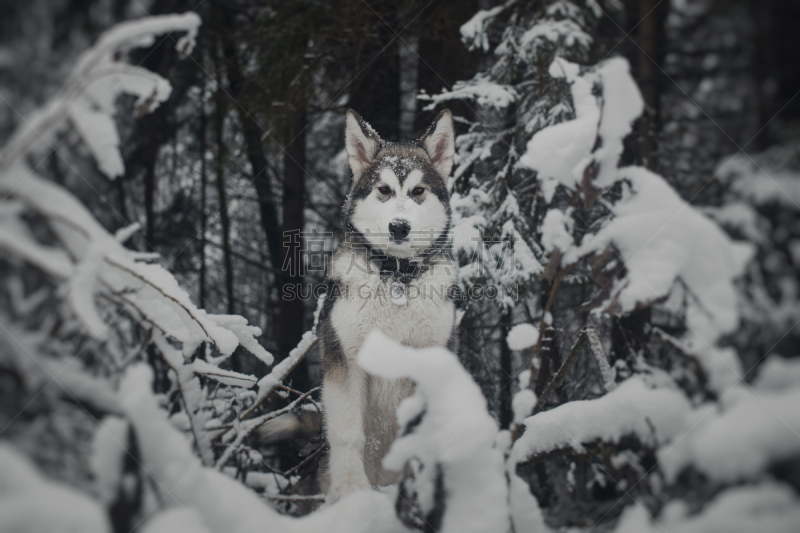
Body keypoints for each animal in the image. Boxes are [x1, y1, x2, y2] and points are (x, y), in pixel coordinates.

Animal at [318, 110, 460, 500]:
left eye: (418, 191)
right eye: (383, 190)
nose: (399, 226)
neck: (396, 276)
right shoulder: (345, 356)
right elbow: (347, 433)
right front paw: (350, 490)